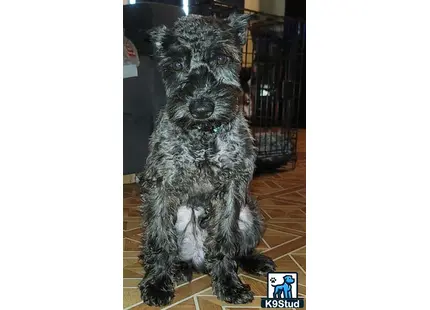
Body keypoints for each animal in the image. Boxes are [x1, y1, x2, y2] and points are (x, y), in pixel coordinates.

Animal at [139, 13, 278, 306]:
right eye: (177, 64)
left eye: (221, 58)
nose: (201, 108)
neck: (202, 136)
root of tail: (198, 261)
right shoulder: (160, 187)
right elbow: (160, 240)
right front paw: (157, 284)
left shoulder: (231, 189)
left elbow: (225, 239)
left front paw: (228, 283)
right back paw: (177, 269)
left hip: (250, 215)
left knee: (239, 249)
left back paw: (254, 262)